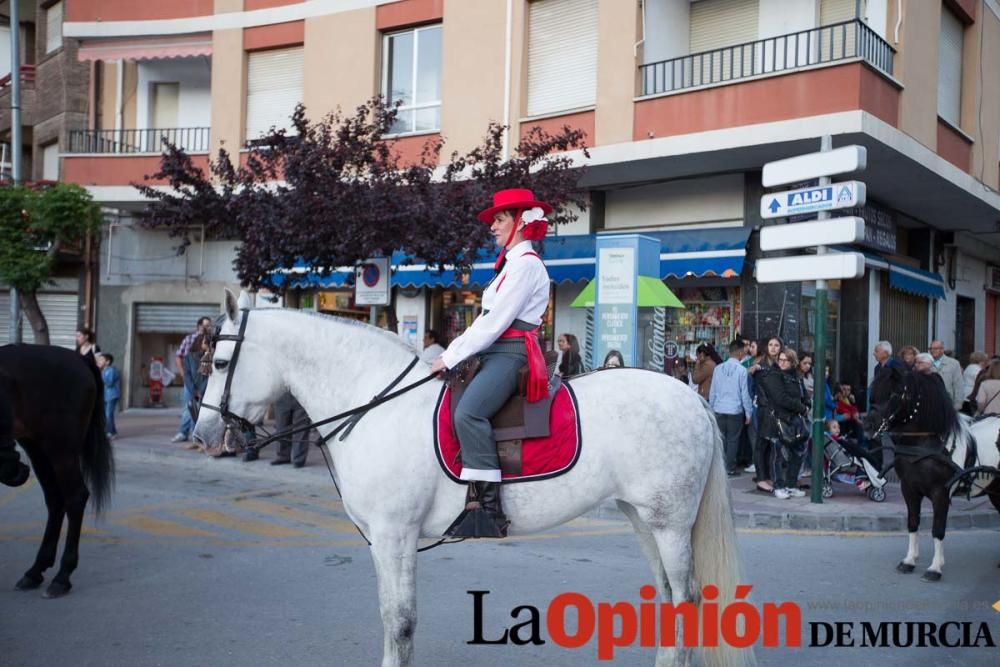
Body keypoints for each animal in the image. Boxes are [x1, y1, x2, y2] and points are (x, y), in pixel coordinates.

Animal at [0, 348, 114, 596]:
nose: (19, 471)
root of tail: (80, 359)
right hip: (38, 448)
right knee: (55, 499)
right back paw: (36, 570)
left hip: (61, 449)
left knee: (75, 497)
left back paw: (62, 575)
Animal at [193, 294, 744, 667]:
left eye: (218, 362)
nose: (202, 433)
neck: (375, 404)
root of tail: (689, 395)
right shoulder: (385, 541)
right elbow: (391, 617)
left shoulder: (395, 536)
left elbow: (401, 621)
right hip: (643, 519)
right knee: (669, 599)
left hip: (669, 524)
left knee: (687, 599)